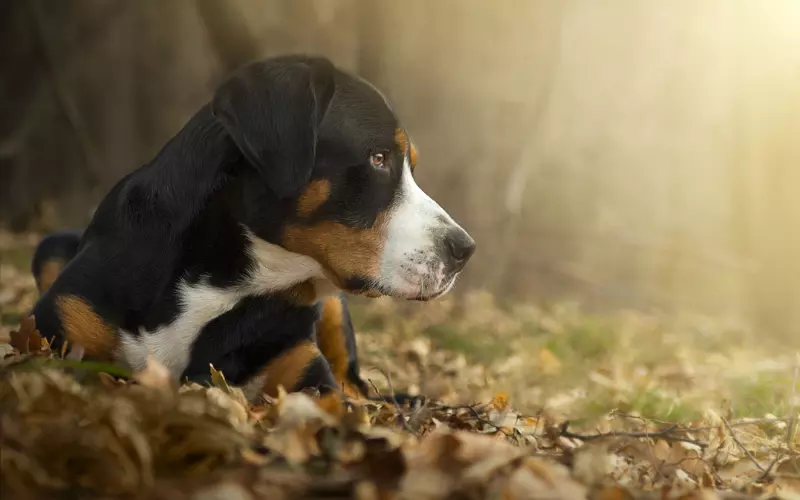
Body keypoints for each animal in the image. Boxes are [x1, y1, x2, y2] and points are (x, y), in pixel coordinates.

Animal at [25, 54, 476, 404]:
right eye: (378, 158)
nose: (465, 250)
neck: (223, 282)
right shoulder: (63, 326)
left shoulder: (307, 373)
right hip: (50, 246)